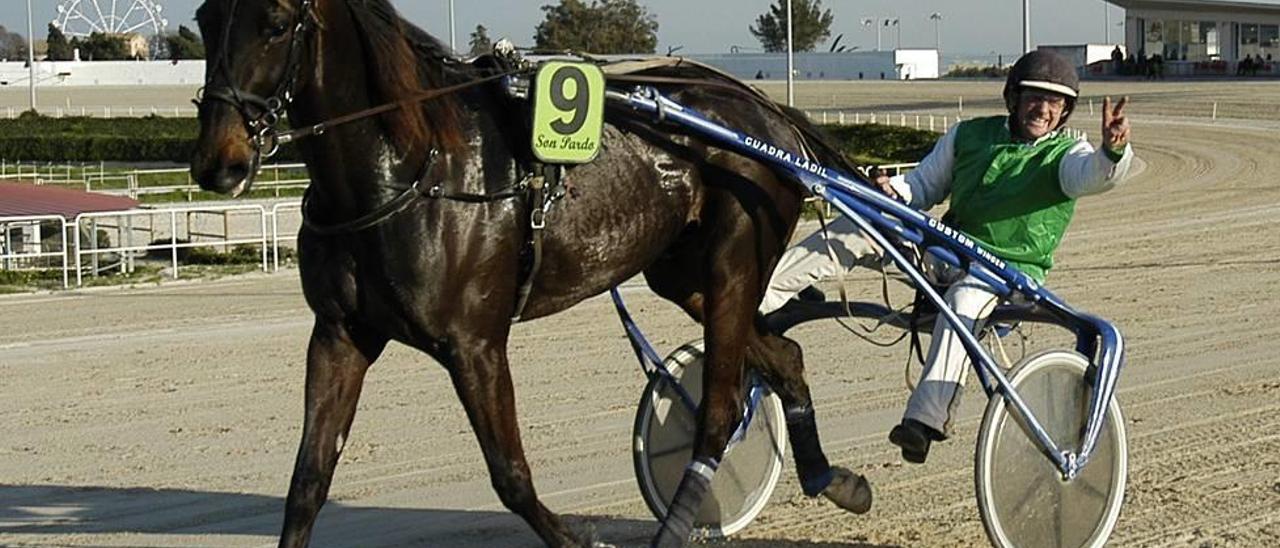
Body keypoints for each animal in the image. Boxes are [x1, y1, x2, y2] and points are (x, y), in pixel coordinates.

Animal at [186, 0, 870, 542]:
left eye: (276, 24)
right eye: (205, 17)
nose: (219, 161)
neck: (410, 172)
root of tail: (766, 112)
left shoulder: (475, 344)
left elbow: (511, 477)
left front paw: (582, 538)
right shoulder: (339, 334)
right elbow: (308, 482)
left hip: (733, 264)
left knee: (720, 413)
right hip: (684, 277)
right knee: (784, 356)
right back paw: (834, 479)